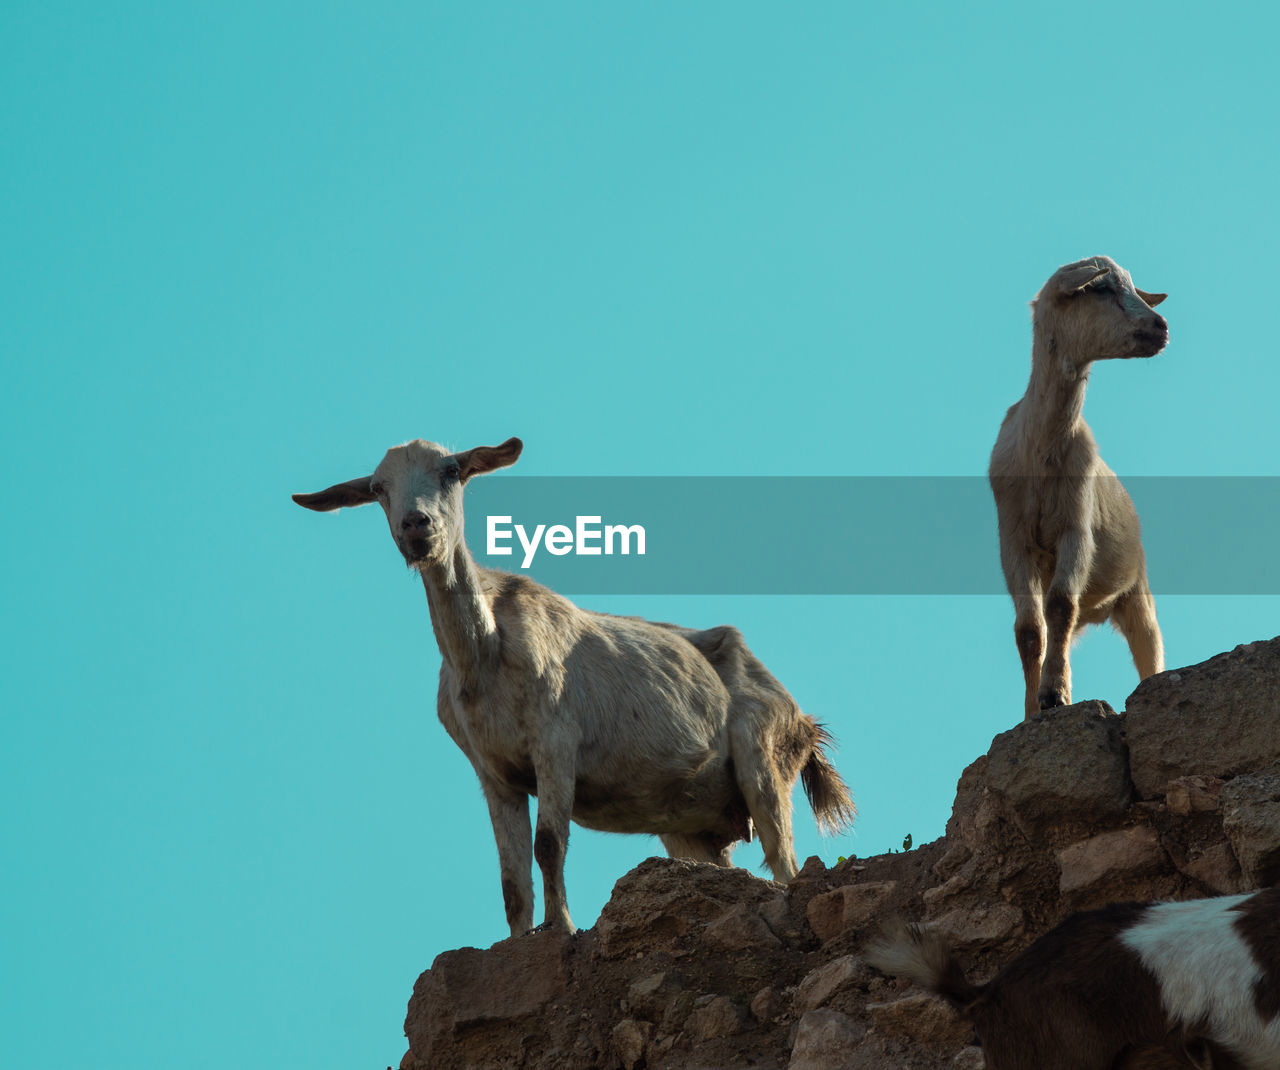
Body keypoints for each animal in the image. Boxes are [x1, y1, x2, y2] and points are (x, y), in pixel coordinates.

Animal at [294, 435, 855, 936]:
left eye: (451, 471)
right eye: (378, 487)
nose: (416, 525)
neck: (483, 656)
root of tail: (804, 721)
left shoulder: (556, 744)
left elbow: (548, 844)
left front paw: (560, 928)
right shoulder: (492, 773)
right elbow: (510, 879)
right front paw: (517, 941)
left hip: (764, 759)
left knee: (783, 858)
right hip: (691, 822)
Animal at [988, 253, 1172, 716]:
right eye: (1101, 288)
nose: (1161, 326)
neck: (1041, 453)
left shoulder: (1076, 529)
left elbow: (1059, 605)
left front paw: (1054, 695)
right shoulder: (1013, 541)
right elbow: (1029, 629)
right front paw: (1033, 709)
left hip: (1137, 589)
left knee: (1148, 647)